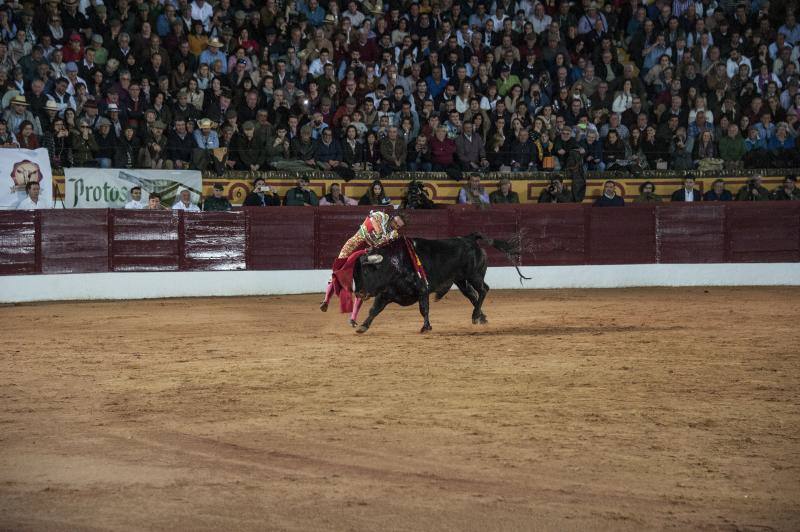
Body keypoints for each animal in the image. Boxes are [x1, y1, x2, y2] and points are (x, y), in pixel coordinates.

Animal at [352, 233, 528, 332]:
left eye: (366, 272)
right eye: (355, 274)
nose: (358, 293)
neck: (394, 263)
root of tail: (469, 238)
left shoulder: (422, 289)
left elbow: (423, 308)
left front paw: (426, 327)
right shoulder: (385, 293)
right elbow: (374, 310)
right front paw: (363, 326)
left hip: (474, 275)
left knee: (483, 290)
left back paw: (475, 316)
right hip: (461, 281)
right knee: (473, 295)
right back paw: (481, 317)